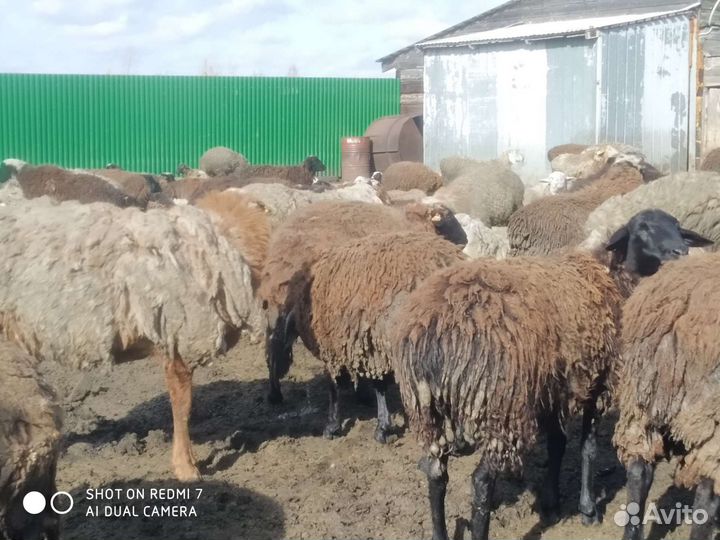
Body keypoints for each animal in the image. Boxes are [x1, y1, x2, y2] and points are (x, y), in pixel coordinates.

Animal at [259, 200, 467, 404]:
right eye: (447, 216)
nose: (465, 240)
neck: (411, 221)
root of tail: (285, 254)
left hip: (279, 308)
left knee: (273, 345)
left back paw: (274, 394)